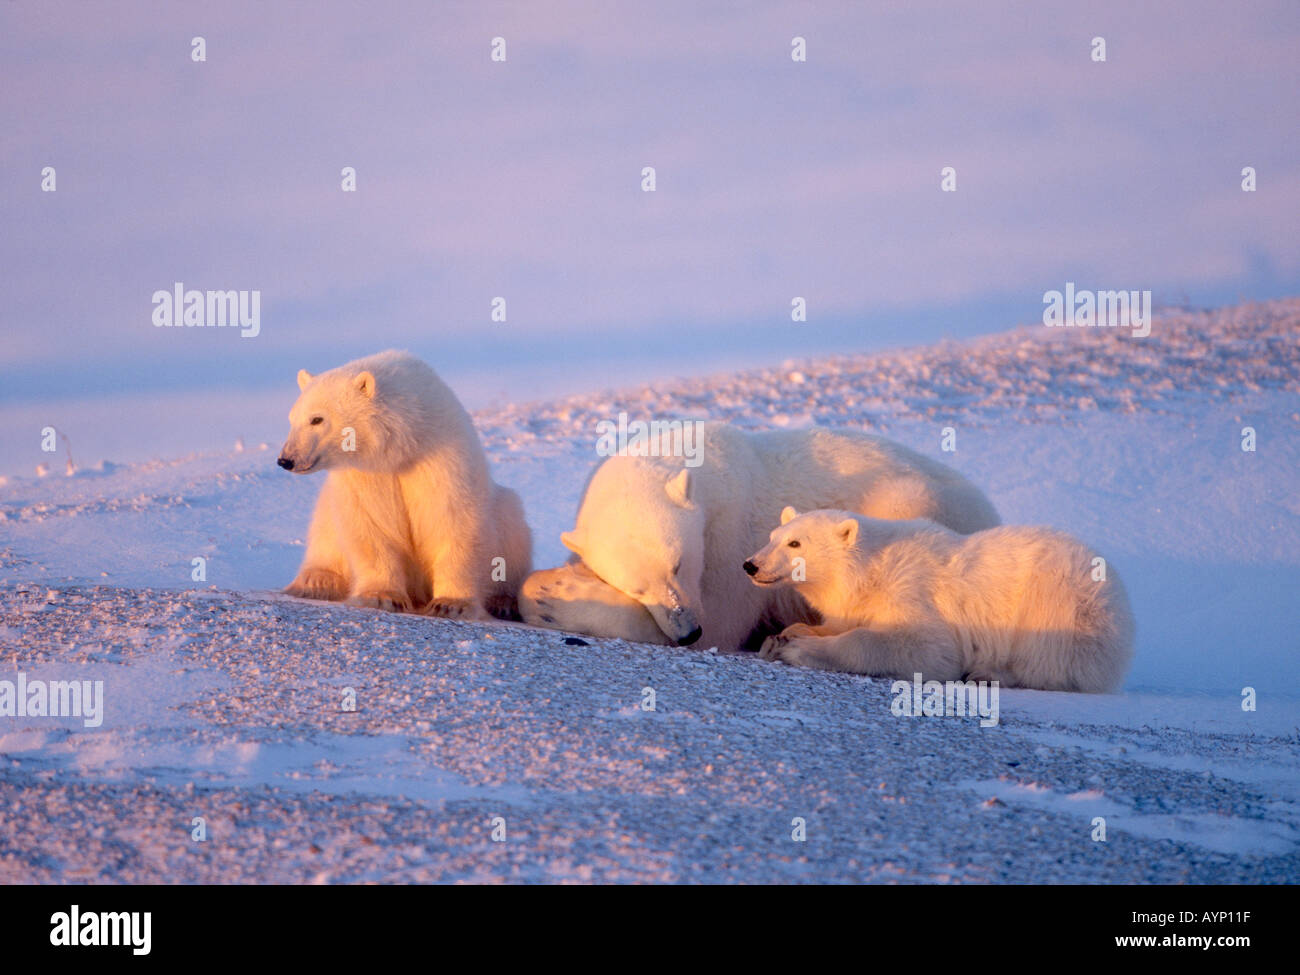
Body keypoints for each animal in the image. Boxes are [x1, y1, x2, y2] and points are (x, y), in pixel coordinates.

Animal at [277, 349, 531, 620]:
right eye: (292, 419)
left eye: (317, 419)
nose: (286, 460)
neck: (405, 442)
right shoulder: (365, 474)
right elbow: (371, 524)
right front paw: (382, 597)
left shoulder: (441, 457)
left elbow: (453, 517)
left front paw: (450, 604)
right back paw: (315, 581)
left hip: (505, 513)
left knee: (511, 528)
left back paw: (504, 601)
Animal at [520, 422, 1000, 650]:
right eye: (634, 586)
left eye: (678, 564)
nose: (687, 632)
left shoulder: (732, 532)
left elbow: (722, 618)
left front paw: (550, 596)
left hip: (911, 497)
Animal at [744, 507, 1135, 692]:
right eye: (773, 535)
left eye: (795, 543)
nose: (751, 564)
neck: (873, 570)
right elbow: (845, 621)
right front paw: (786, 635)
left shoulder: (913, 591)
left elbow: (928, 649)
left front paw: (798, 650)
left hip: (1061, 600)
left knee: (1049, 657)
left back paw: (987, 674)